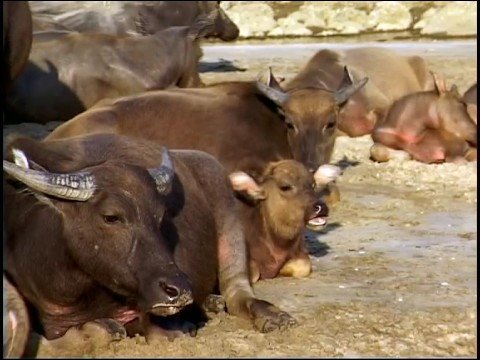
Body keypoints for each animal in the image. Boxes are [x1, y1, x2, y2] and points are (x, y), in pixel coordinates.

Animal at [3, 133, 296, 346]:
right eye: (111, 217)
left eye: (160, 216)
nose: (179, 289)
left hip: (229, 221)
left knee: (237, 293)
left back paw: (272, 317)